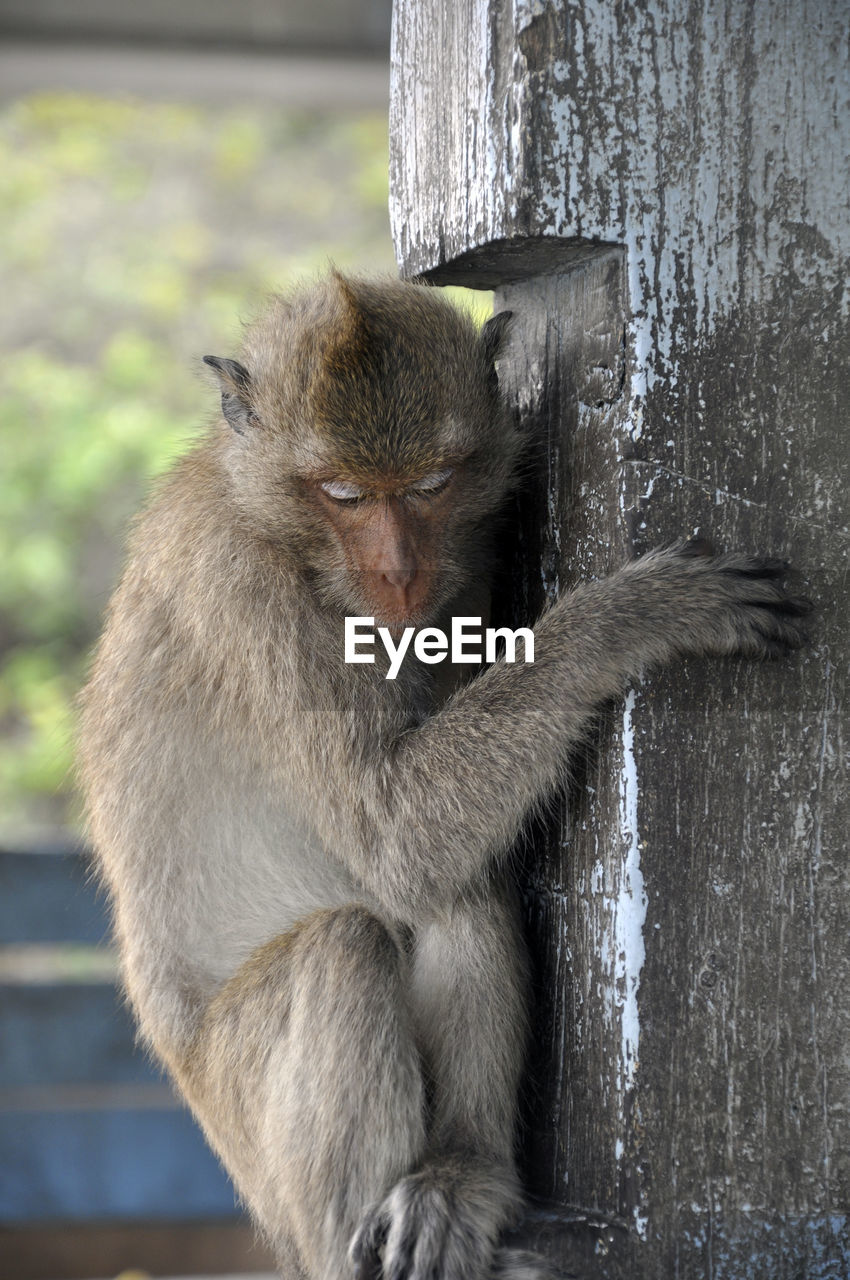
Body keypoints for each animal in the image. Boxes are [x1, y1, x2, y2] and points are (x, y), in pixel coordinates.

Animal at [78, 272, 809, 1280]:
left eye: (432, 484)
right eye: (343, 493)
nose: (398, 570)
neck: (285, 531)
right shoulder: (240, 589)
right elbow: (392, 830)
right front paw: (635, 614)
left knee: (455, 892)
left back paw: (460, 1178)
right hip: (249, 1124)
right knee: (353, 938)